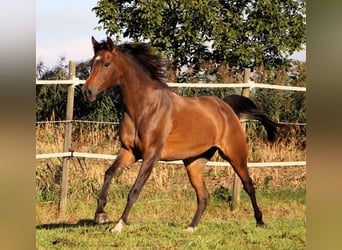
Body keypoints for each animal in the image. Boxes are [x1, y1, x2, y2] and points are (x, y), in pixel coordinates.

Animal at [82, 37, 278, 232]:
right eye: (92, 63)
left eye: (106, 64)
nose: (87, 91)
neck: (144, 108)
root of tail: (226, 108)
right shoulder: (129, 151)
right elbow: (109, 173)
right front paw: (100, 214)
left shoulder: (151, 155)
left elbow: (135, 190)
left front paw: (119, 225)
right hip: (194, 163)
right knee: (204, 195)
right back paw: (191, 227)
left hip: (235, 155)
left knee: (248, 185)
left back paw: (260, 221)